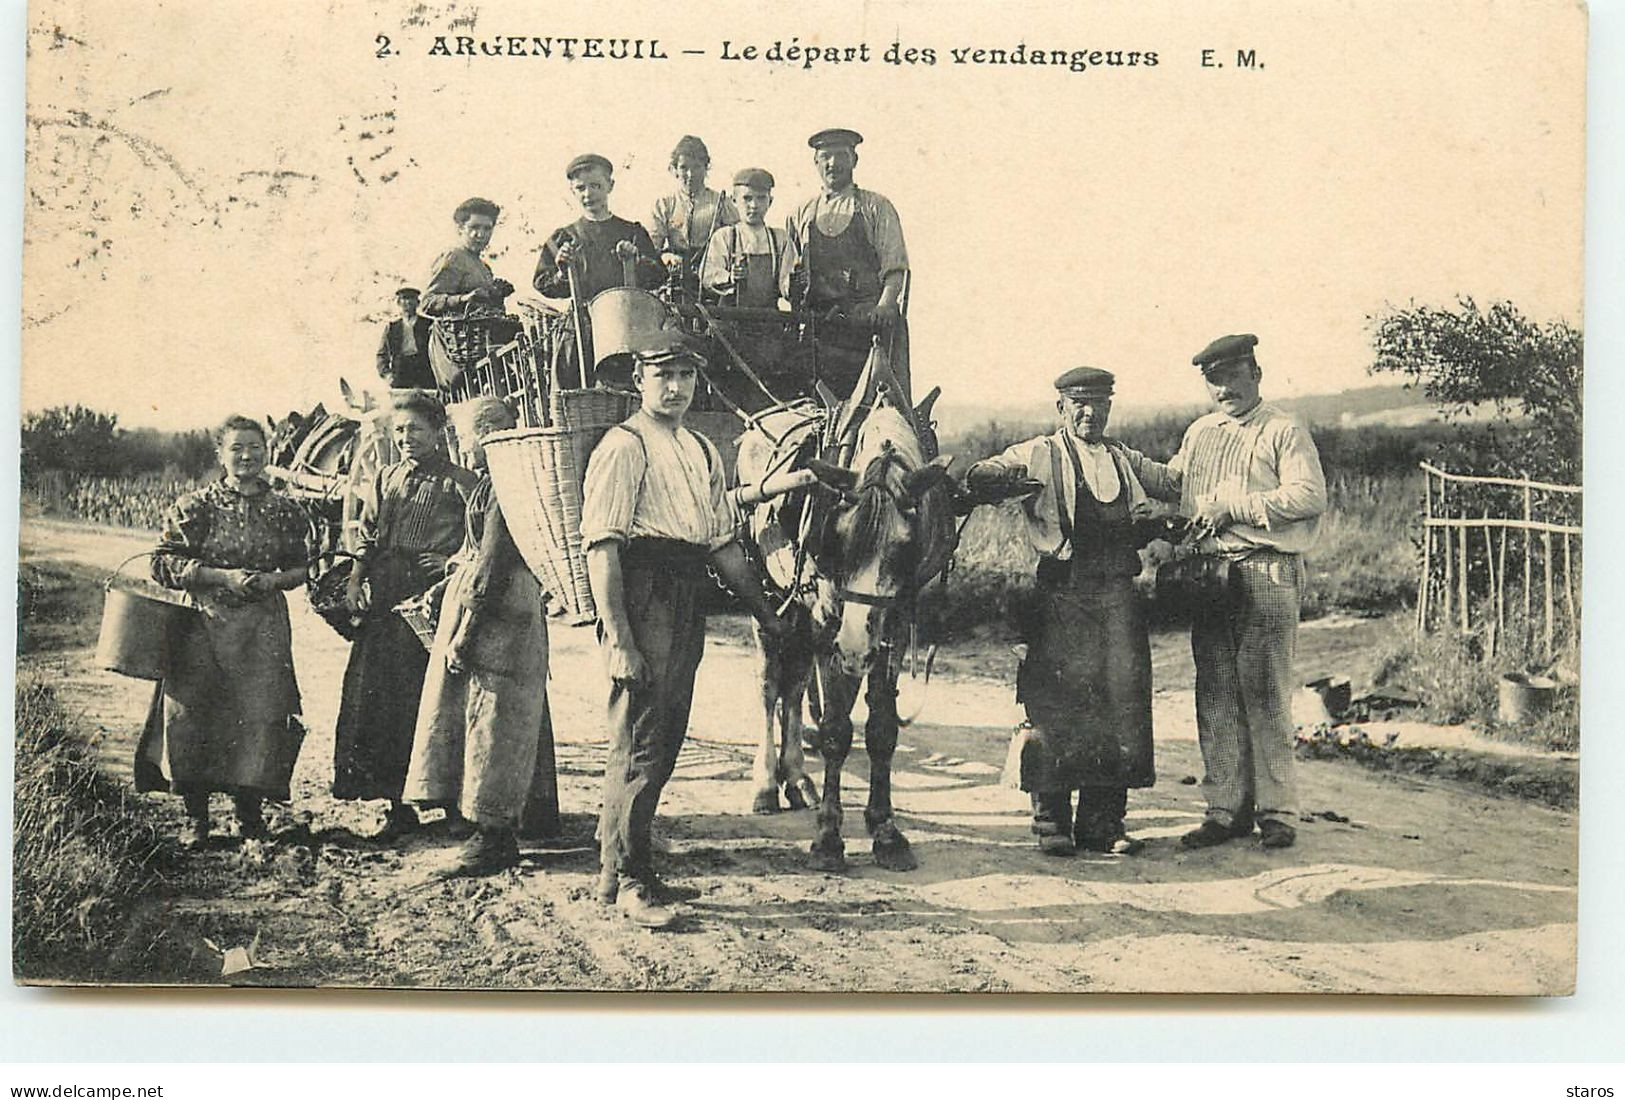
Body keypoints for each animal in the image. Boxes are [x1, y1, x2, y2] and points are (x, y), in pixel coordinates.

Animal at [737, 389, 949, 870]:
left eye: (905, 546)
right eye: (837, 535)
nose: (853, 648)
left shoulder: (892, 623)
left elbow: (882, 729)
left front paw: (885, 828)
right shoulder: (827, 619)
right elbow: (836, 730)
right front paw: (829, 836)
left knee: (794, 687)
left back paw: (796, 778)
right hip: (767, 594)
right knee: (768, 687)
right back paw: (766, 782)